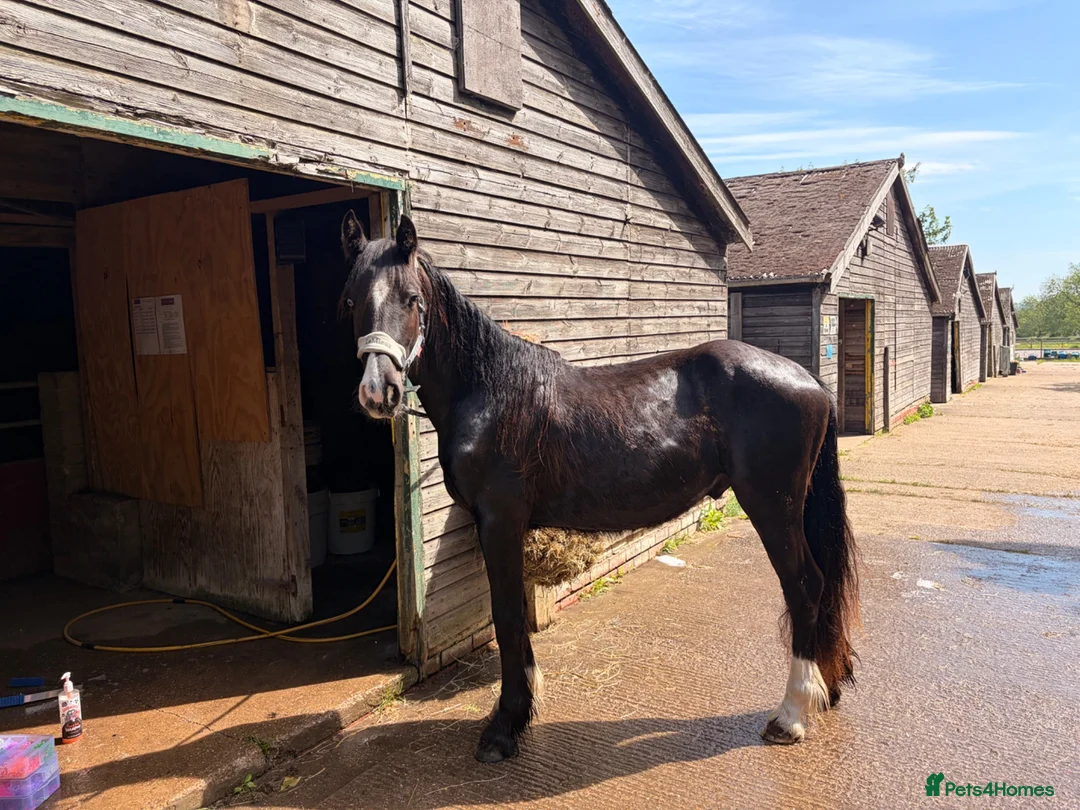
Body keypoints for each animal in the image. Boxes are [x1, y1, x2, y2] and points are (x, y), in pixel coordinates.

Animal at [338, 212, 858, 762]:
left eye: (412, 298)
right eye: (351, 300)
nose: (378, 392)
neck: (490, 392)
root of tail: (808, 380)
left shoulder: (499, 522)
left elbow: (506, 614)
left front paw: (504, 727)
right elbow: (514, 614)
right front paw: (522, 711)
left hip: (772, 507)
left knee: (804, 586)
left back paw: (791, 715)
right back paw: (825, 688)